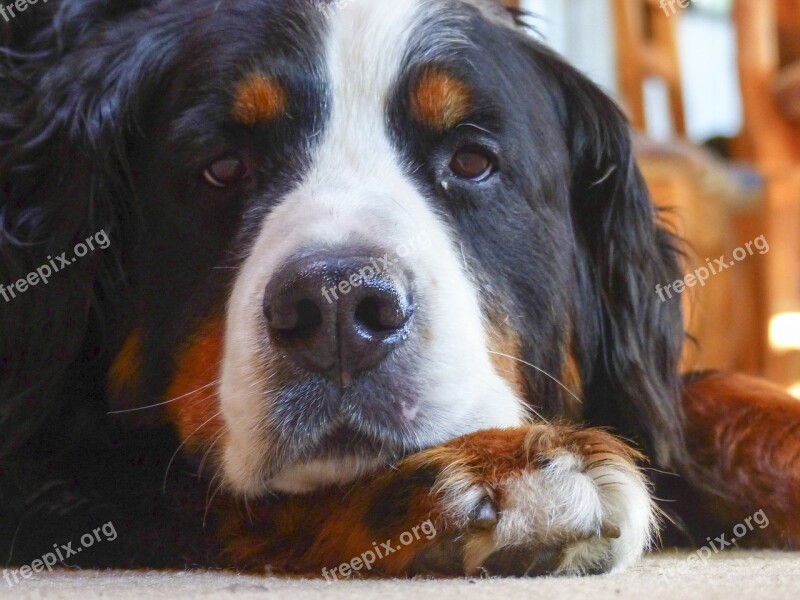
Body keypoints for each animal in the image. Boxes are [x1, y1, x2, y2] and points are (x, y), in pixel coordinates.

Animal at [1, 0, 800, 580]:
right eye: (222, 167)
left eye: (473, 162)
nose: (336, 306)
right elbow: (194, 487)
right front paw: (500, 469)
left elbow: (700, 399)